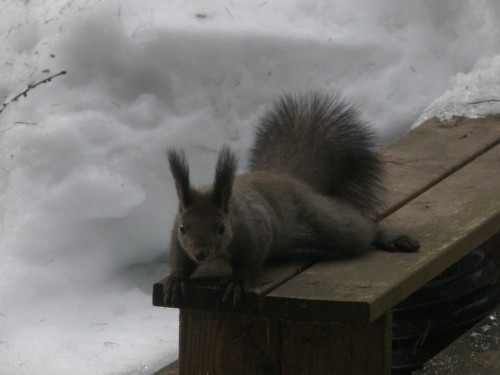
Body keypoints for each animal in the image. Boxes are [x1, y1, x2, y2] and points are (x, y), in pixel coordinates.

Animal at [162, 92, 420, 306]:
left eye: (221, 228)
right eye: (183, 228)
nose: (201, 254)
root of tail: (289, 179)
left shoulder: (255, 230)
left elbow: (249, 261)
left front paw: (237, 282)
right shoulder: (177, 236)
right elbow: (179, 257)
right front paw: (176, 278)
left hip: (326, 222)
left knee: (360, 228)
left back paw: (390, 238)